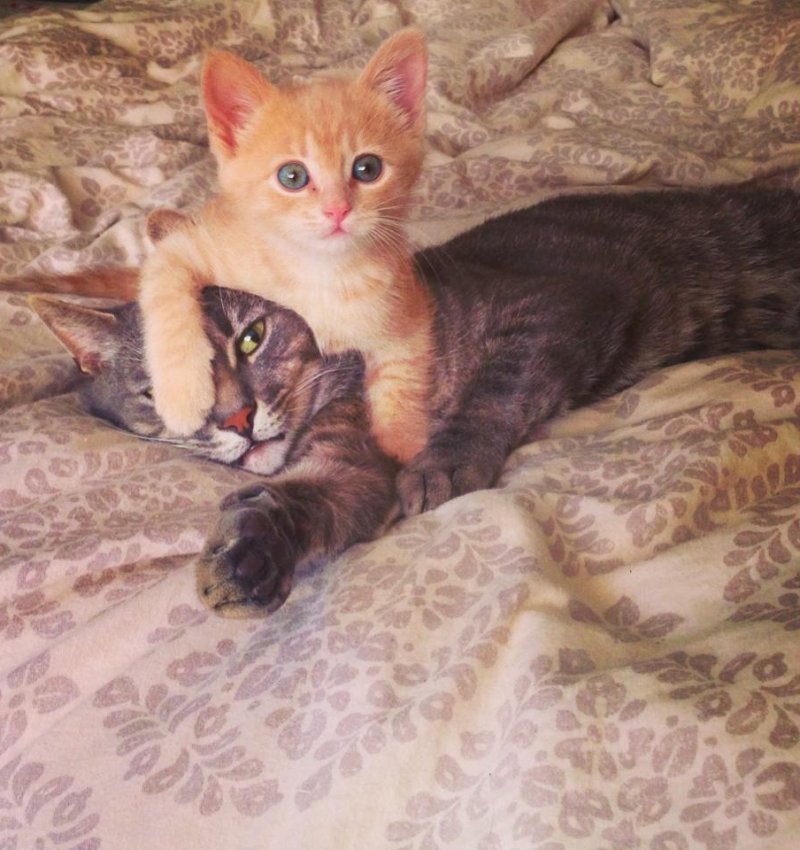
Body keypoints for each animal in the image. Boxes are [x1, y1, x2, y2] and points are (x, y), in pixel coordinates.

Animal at [31, 287, 398, 616]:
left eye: (251, 338)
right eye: (163, 390)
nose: (239, 419)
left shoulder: (352, 460)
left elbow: (310, 492)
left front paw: (253, 552)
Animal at [136, 28, 433, 465]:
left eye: (368, 169)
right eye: (292, 176)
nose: (337, 209)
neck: (320, 271)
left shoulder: (406, 304)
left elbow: (404, 370)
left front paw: (403, 446)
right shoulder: (195, 246)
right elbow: (163, 285)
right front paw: (181, 395)